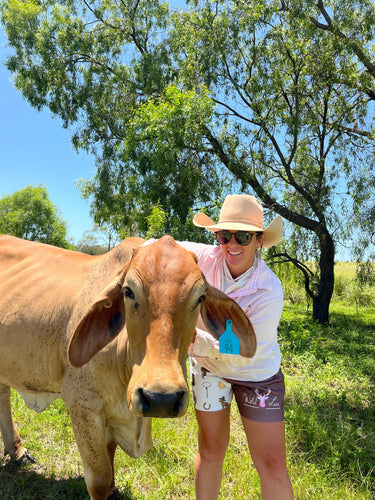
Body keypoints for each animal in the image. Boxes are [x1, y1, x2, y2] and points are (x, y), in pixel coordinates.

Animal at [0, 235, 256, 500]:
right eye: (128, 291)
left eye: (200, 298)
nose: (161, 399)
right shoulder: (83, 405)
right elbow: (100, 478)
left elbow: (110, 460)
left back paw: (17, 452)